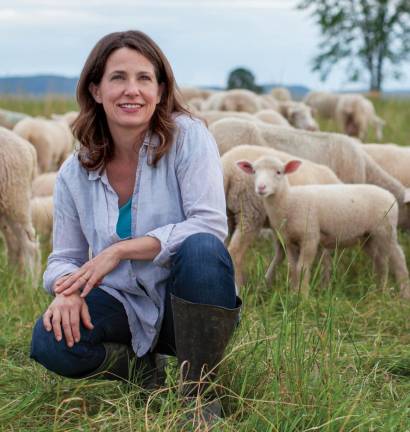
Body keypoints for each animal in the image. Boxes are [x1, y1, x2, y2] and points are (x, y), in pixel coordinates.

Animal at [223, 144, 342, 286]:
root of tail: (227, 168)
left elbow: (281, 253)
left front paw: (266, 282)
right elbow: (324, 256)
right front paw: (325, 283)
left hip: (229, 214)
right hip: (250, 211)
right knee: (234, 252)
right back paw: (239, 286)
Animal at [237, 157, 410, 298]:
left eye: (279, 172)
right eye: (254, 171)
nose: (261, 188)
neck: (289, 201)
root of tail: (390, 195)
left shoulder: (310, 237)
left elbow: (302, 268)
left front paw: (303, 297)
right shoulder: (289, 241)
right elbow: (293, 269)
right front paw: (293, 293)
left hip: (385, 231)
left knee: (393, 258)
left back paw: (393, 292)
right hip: (368, 237)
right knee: (381, 259)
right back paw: (379, 290)